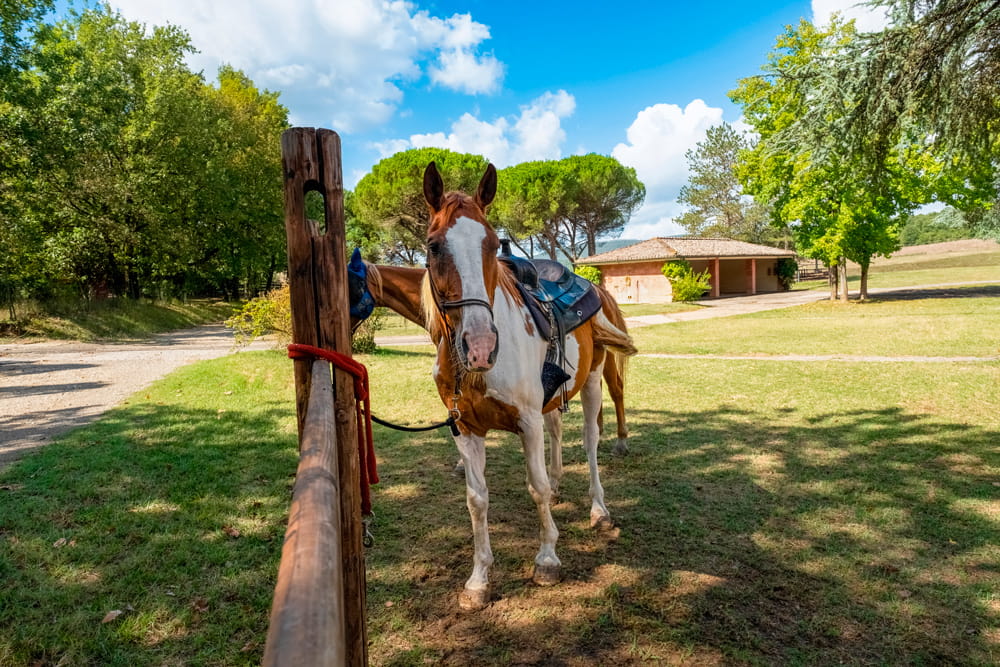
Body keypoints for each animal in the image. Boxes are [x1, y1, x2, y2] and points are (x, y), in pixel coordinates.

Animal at [419, 161, 637, 609]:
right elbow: (477, 500)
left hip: (592, 382)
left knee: (590, 441)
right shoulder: (465, 429)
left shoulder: (527, 422)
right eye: (434, 246)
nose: (481, 346)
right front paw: (479, 580)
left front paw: (547, 558)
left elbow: (534, 486)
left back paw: (599, 511)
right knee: (557, 433)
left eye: (490, 244)